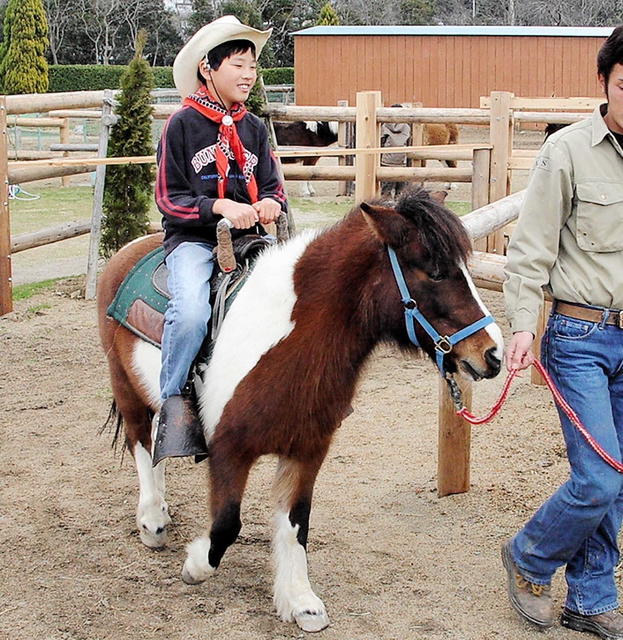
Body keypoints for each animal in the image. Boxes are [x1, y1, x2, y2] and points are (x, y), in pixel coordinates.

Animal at [96, 187, 504, 632]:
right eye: (434, 272)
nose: (493, 354)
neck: (288, 341)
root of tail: (129, 249)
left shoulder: (308, 449)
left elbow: (296, 522)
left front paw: (300, 601)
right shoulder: (228, 450)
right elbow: (226, 526)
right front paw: (195, 565)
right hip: (127, 390)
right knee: (141, 443)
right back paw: (153, 521)